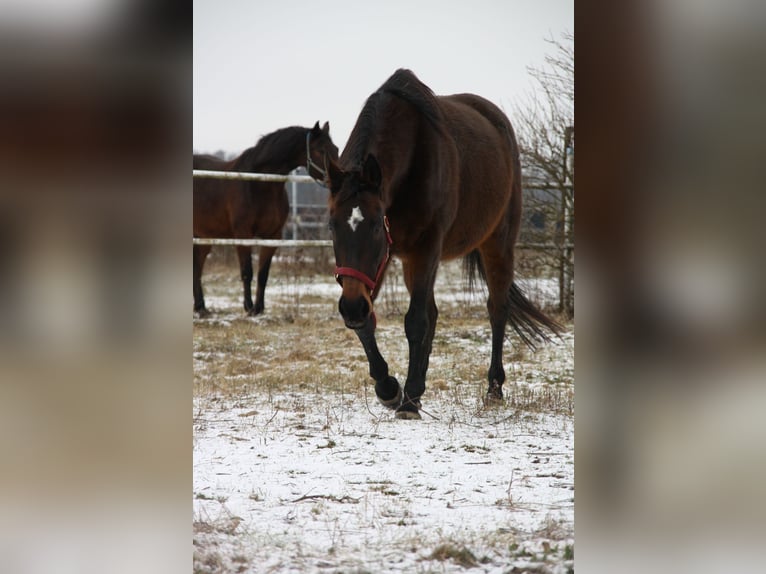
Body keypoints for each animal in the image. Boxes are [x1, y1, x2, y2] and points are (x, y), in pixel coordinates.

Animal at [194, 122, 338, 320]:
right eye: (321, 150)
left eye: (336, 149)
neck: (259, 184)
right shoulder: (243, 234)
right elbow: (247, 271)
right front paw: (248, 307)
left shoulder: (273, 236)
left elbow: (263, 274)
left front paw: (259, 308)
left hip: (204, 237)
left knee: (197, 267)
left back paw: (201, 307)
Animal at [326, 71, 564, 418]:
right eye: (331, 225)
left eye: (375, 225)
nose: (351, 307)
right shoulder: (381, 263)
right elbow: (370, 323)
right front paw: (390, 388)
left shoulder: (426, 247)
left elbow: (415, 321)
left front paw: (408, 399)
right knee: (435, 313)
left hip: (497, 243)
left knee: (497, 309)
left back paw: (494, 388)